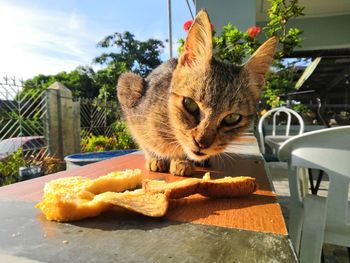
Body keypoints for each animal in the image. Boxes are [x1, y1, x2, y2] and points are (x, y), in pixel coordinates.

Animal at [119, 10, 278, 176]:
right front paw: (155, 158)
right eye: (189, 104)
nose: (201, 143)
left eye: (232, 118)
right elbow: (144, 141)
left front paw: (181, 161)